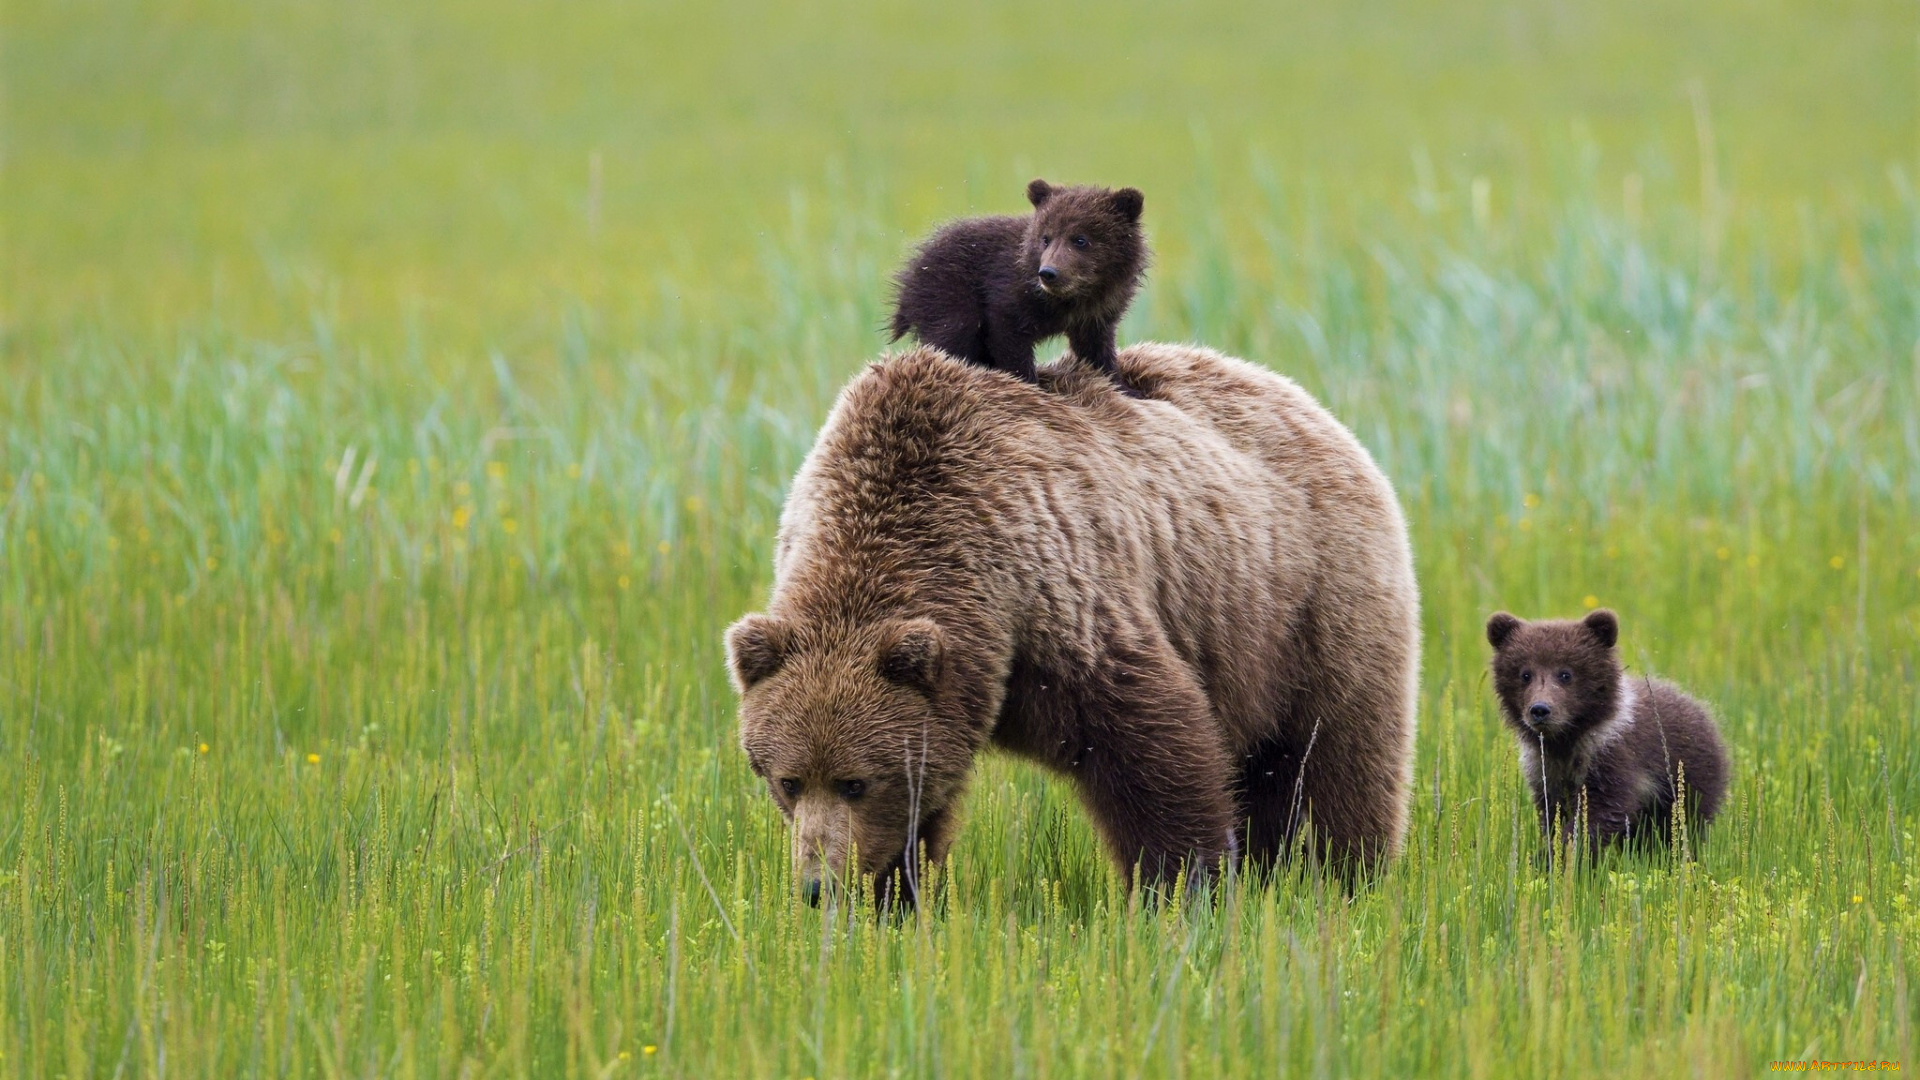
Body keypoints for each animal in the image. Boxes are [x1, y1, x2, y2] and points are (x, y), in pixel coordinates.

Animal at [726, 343, 1421, 908]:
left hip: (1307, 604)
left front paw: (1182, 890)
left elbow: (1155, 745)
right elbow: (922, 809)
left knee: (1334, 760)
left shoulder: (1055, 593)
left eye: (855, 782)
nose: (817, 885)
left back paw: (1341, 881)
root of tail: (1308, 403)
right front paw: (896, 901)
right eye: (787, 780)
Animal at [887, 178, 1147, 390]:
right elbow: (1008, 335)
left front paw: (1124, 386)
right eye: (1046, 238)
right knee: (952, 335)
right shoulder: (1008, 291)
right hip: (948, 292)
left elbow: (1096, 349)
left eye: (1080, 240)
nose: (1048, 273)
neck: (1074, 297)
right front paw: (1028, 383)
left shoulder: (1096, 313)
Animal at [1485, 609, 1730, 853]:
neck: (1568, 739)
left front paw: (1557, 852)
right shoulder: (1545, 769)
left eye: (1565, 674)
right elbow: (1553, 814)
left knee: (1683, 824)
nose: (1540, 709)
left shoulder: (1610, 757)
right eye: (1525, 674)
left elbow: (1600, 812)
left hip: (1688, 778)